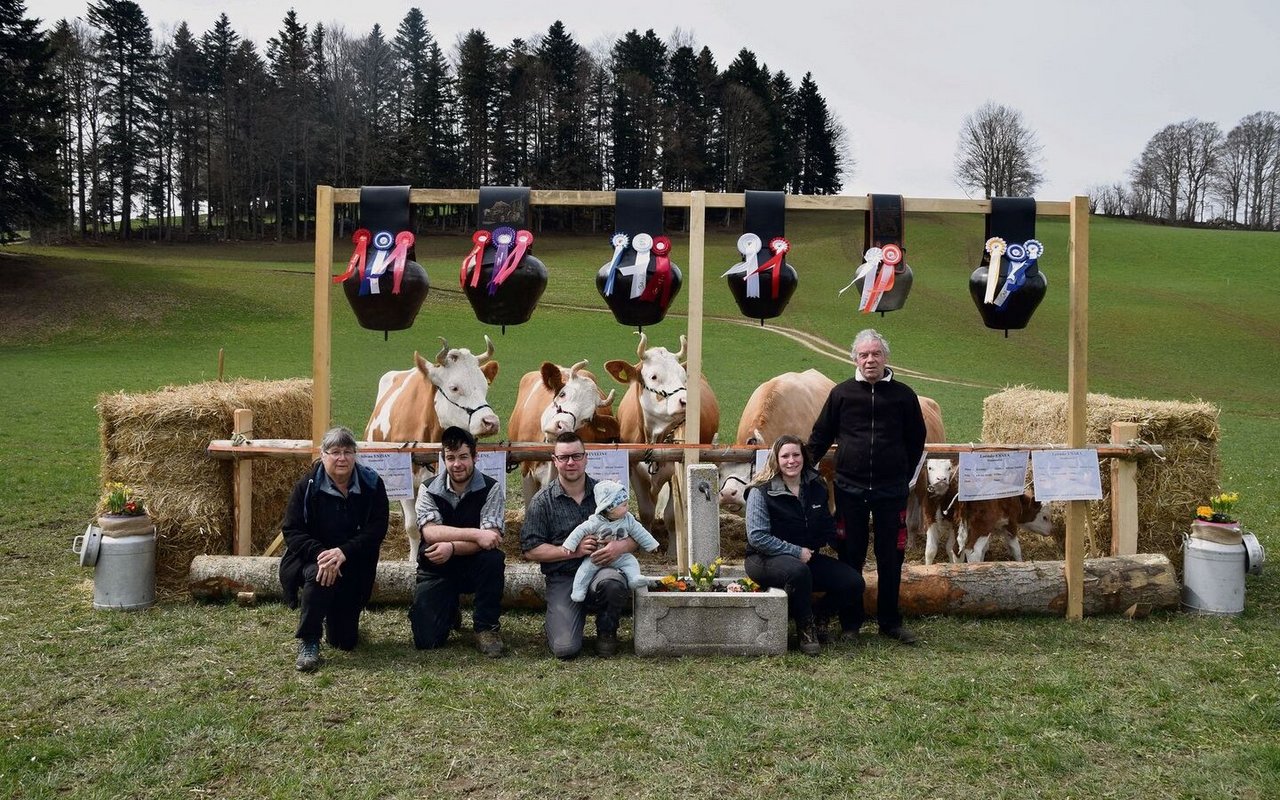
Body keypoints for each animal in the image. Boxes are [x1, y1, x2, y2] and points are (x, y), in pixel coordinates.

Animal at [366, 332, 499, 558]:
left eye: (485, 386)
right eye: (454, 387)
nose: (490, 422)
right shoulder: (406, 481)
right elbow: (413, 526)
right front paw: (413, 559)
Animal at [601, 330, 716, 529]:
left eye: (684, 377)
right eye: (654, 376)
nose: (685, 401)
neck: (653, 437)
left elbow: (672, 517)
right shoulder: (634, 469)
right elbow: (646, 511)